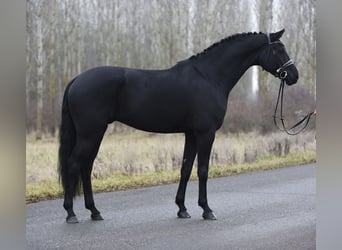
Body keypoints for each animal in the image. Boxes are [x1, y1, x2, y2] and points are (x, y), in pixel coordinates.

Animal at [57, 28, 298, 223]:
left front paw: (182, 208)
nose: (294, 76)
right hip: (90, 133)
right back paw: (71, 213)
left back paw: (94, 212)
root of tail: (76, 79)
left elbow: (185, 168)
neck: (209, 76)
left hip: (95, 133)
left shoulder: (191, 134)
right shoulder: (206, 133)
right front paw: (207, 210)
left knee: (86, 167)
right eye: (278, 49)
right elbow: (202, 170)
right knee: (74, 164)